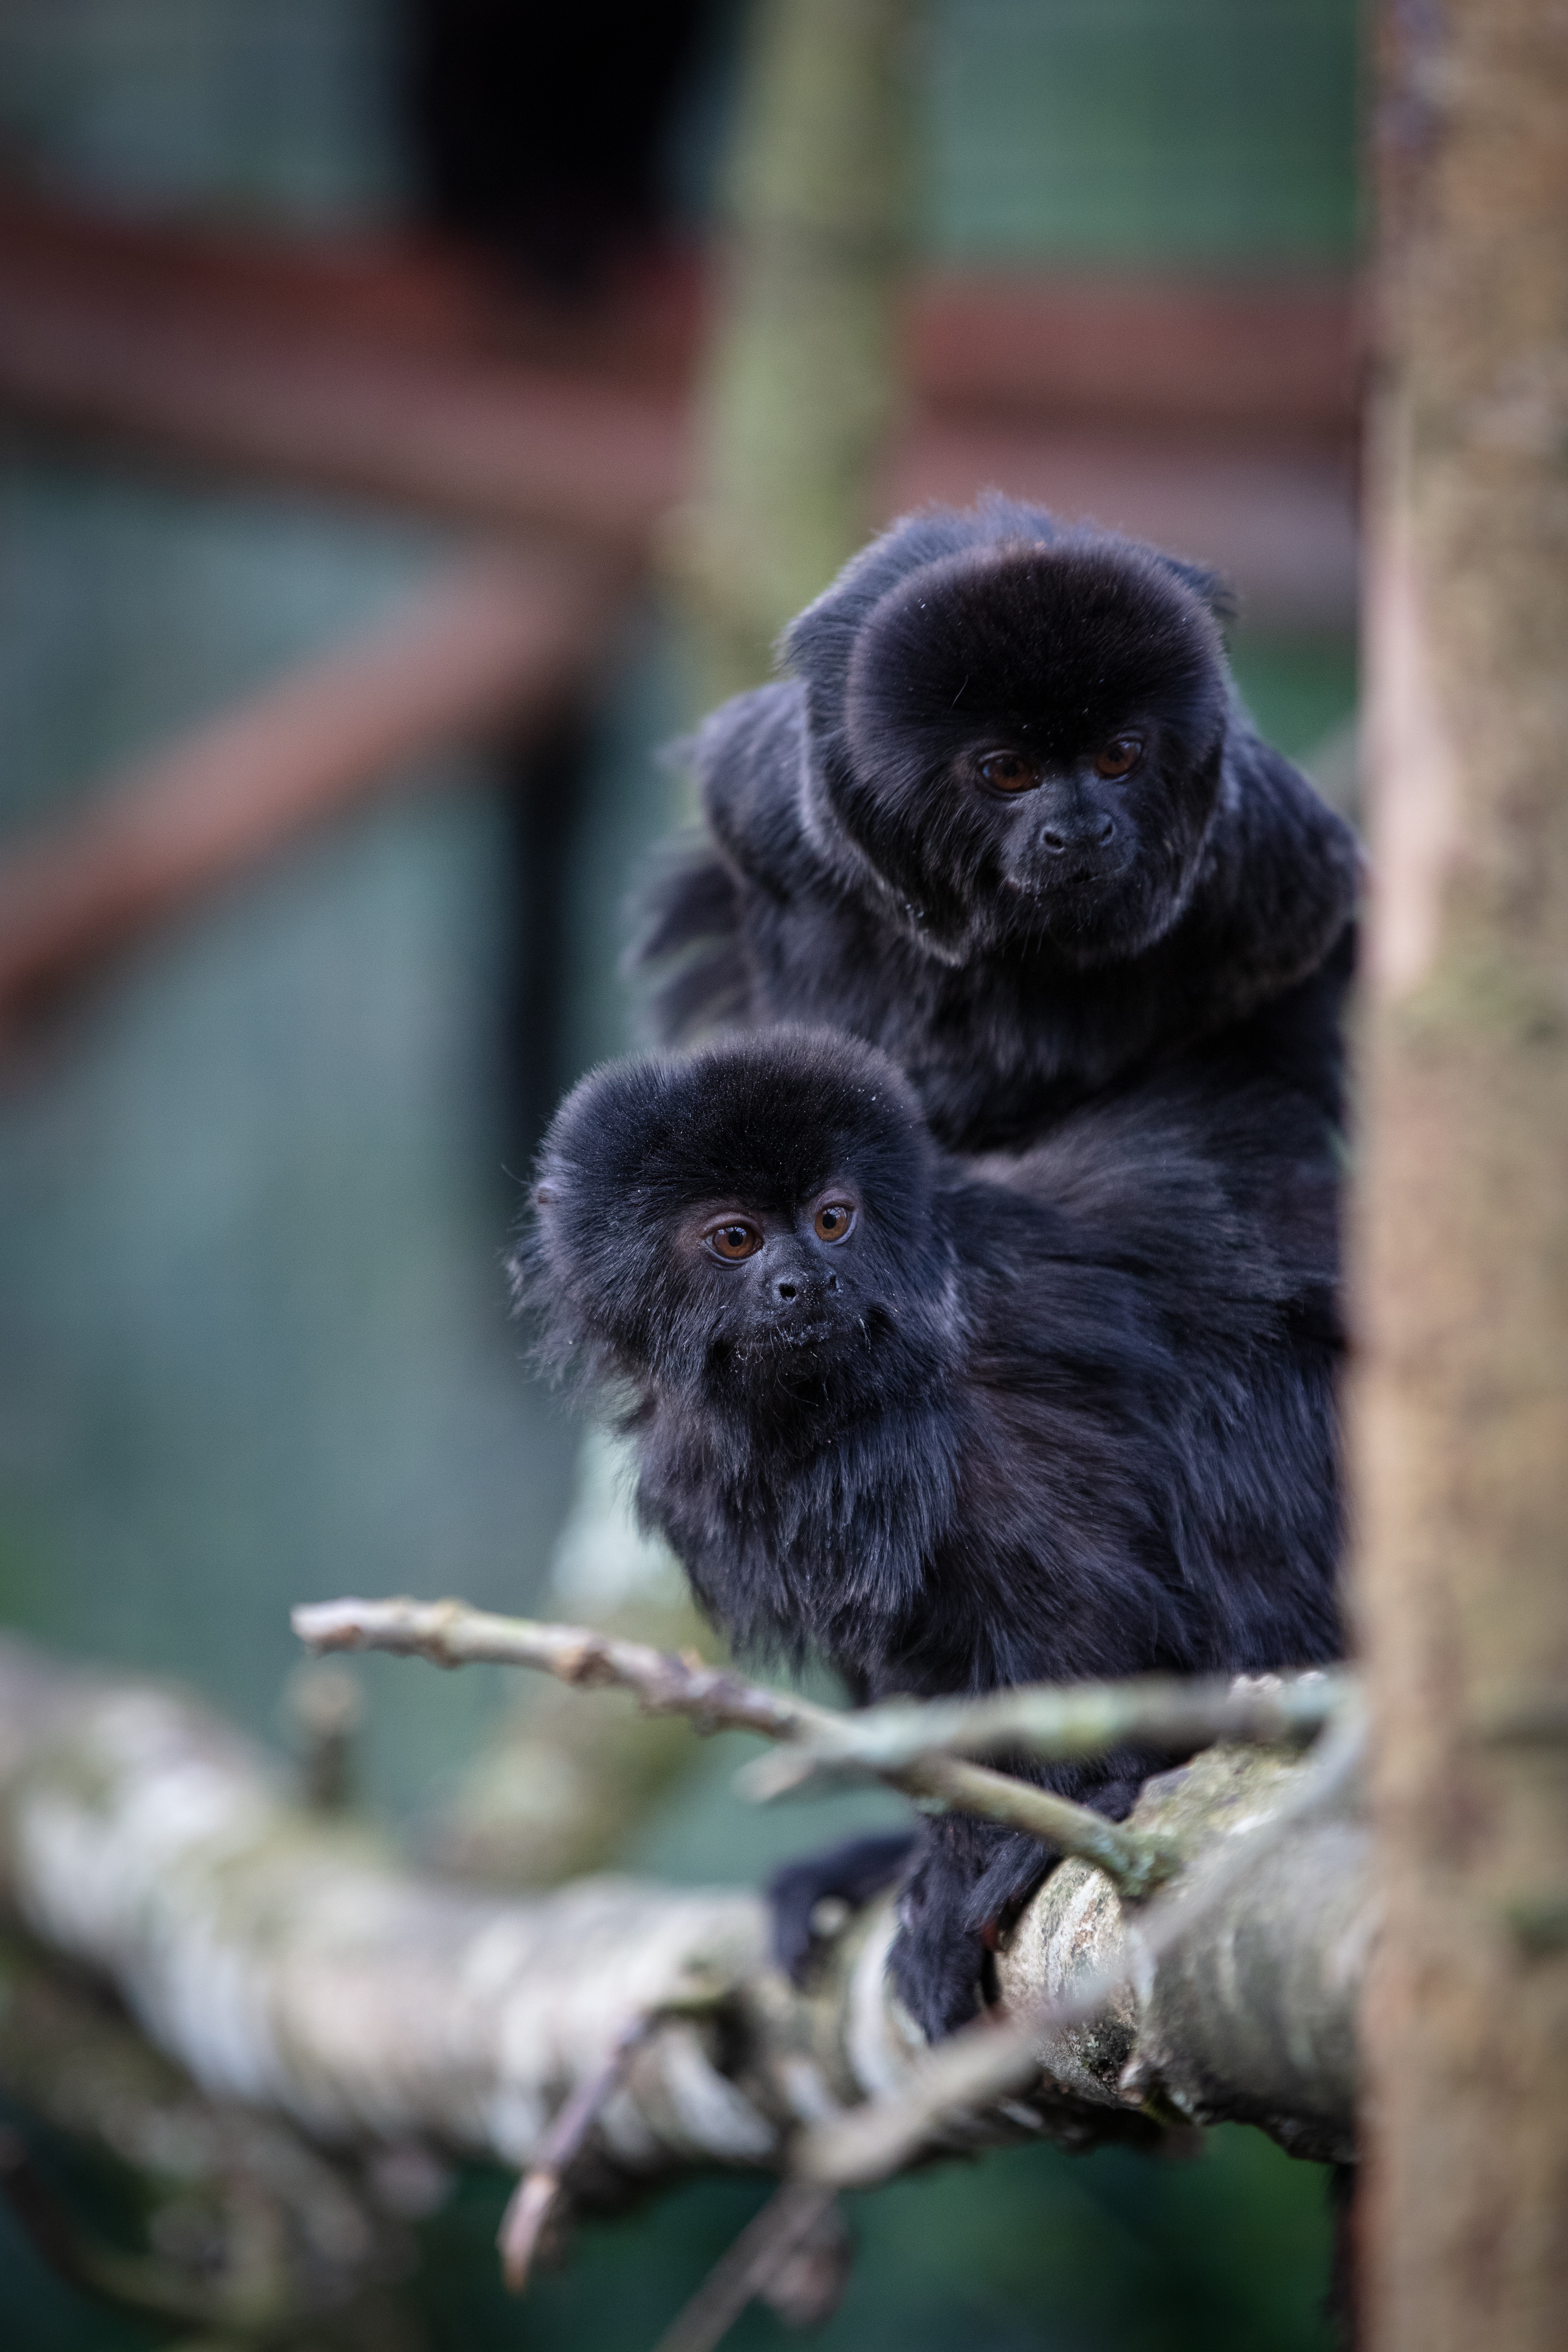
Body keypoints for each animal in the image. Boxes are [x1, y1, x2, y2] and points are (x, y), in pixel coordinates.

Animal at [522, 1030, 1344, 2042]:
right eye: (735, 1238)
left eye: (833, 1220)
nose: (807, 1282)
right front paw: (942, 1855)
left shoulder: (983, 1407)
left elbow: (1080, 1609)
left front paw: (1058, 1818)